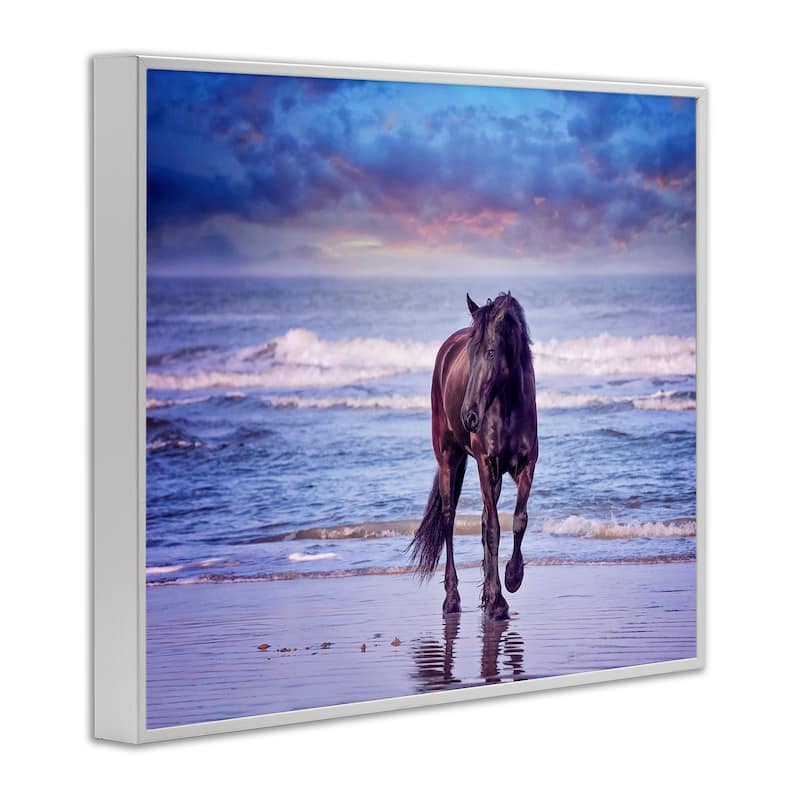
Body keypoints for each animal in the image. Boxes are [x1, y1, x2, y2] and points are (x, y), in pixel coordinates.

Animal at [409, 292, 539, 621]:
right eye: (471, 353)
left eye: (492, 352)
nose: (468, 416)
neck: (507, 406)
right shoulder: (484, 463)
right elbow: (493, 528)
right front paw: (498, 601)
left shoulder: (526, 465)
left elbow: (518, 520)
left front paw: (511, 578)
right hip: (447, 458)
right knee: (448, 519)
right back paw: (452, 599)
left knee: (481, 520)